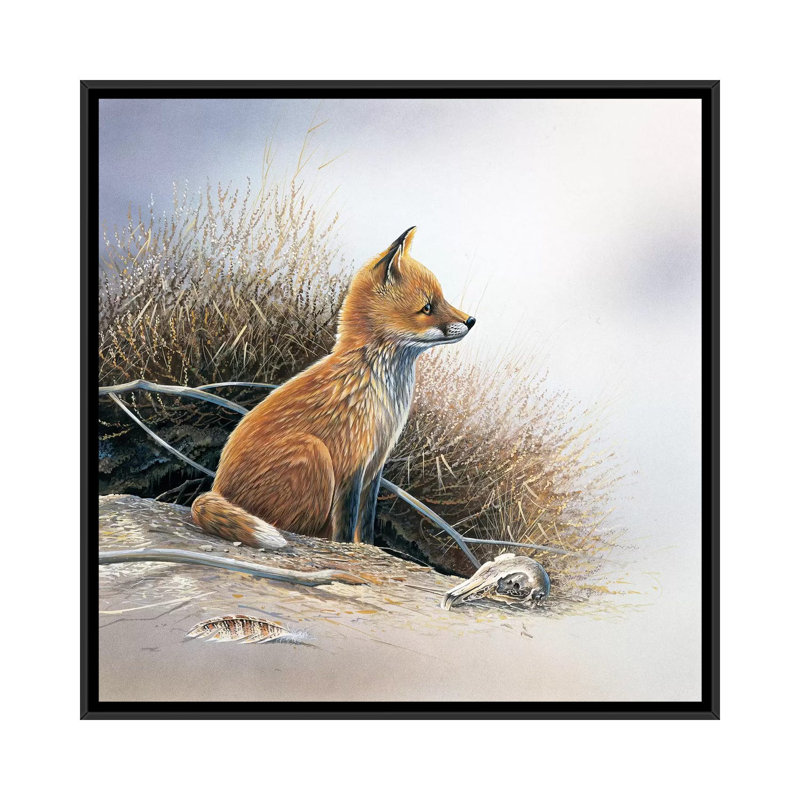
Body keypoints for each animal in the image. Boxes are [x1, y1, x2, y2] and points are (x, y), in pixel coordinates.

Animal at [191, 227, 475, 548]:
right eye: (427, 307)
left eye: (442, 298)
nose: (471, 320)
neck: (376, 386)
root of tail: (217, 488)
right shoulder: (352, 465)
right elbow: (346, 526)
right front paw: (348, 549)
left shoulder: (375, 468)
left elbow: (366, 524)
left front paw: (367, 548)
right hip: (313, 454)